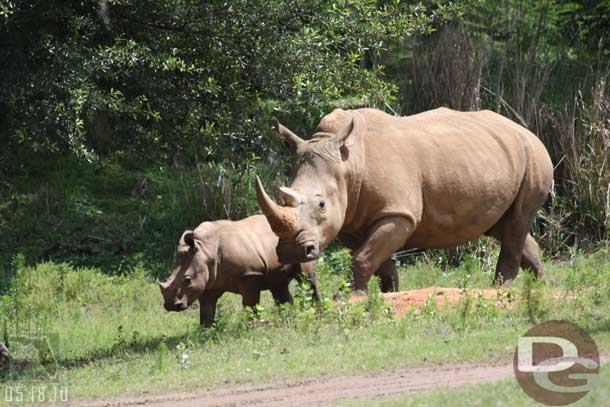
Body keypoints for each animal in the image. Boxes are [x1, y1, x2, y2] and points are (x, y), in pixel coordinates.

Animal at [159, 215, 320, 326]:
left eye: (187, 280)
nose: (171, 306)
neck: (205, 249)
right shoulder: (208, 283)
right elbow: (206, 311)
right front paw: (204, 331)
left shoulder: (250, 274)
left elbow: (250, 305)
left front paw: (253, 326)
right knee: (278, 285)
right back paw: (286, 316)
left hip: (304, 243)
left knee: (308, 279)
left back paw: (317, 312)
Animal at [254, 107, 552, 294]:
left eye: (321, 205)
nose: (291, 252)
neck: (349, 164)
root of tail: (526, 130)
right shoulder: (351, 220)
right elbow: (376, 260)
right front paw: (389, 293)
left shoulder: (398, 214)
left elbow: (363, 257)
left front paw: (350, 298)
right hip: (498, 157)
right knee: (504, 225)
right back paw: (543, 287)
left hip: (534, 155)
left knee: (517, 222)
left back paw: (500, 290)